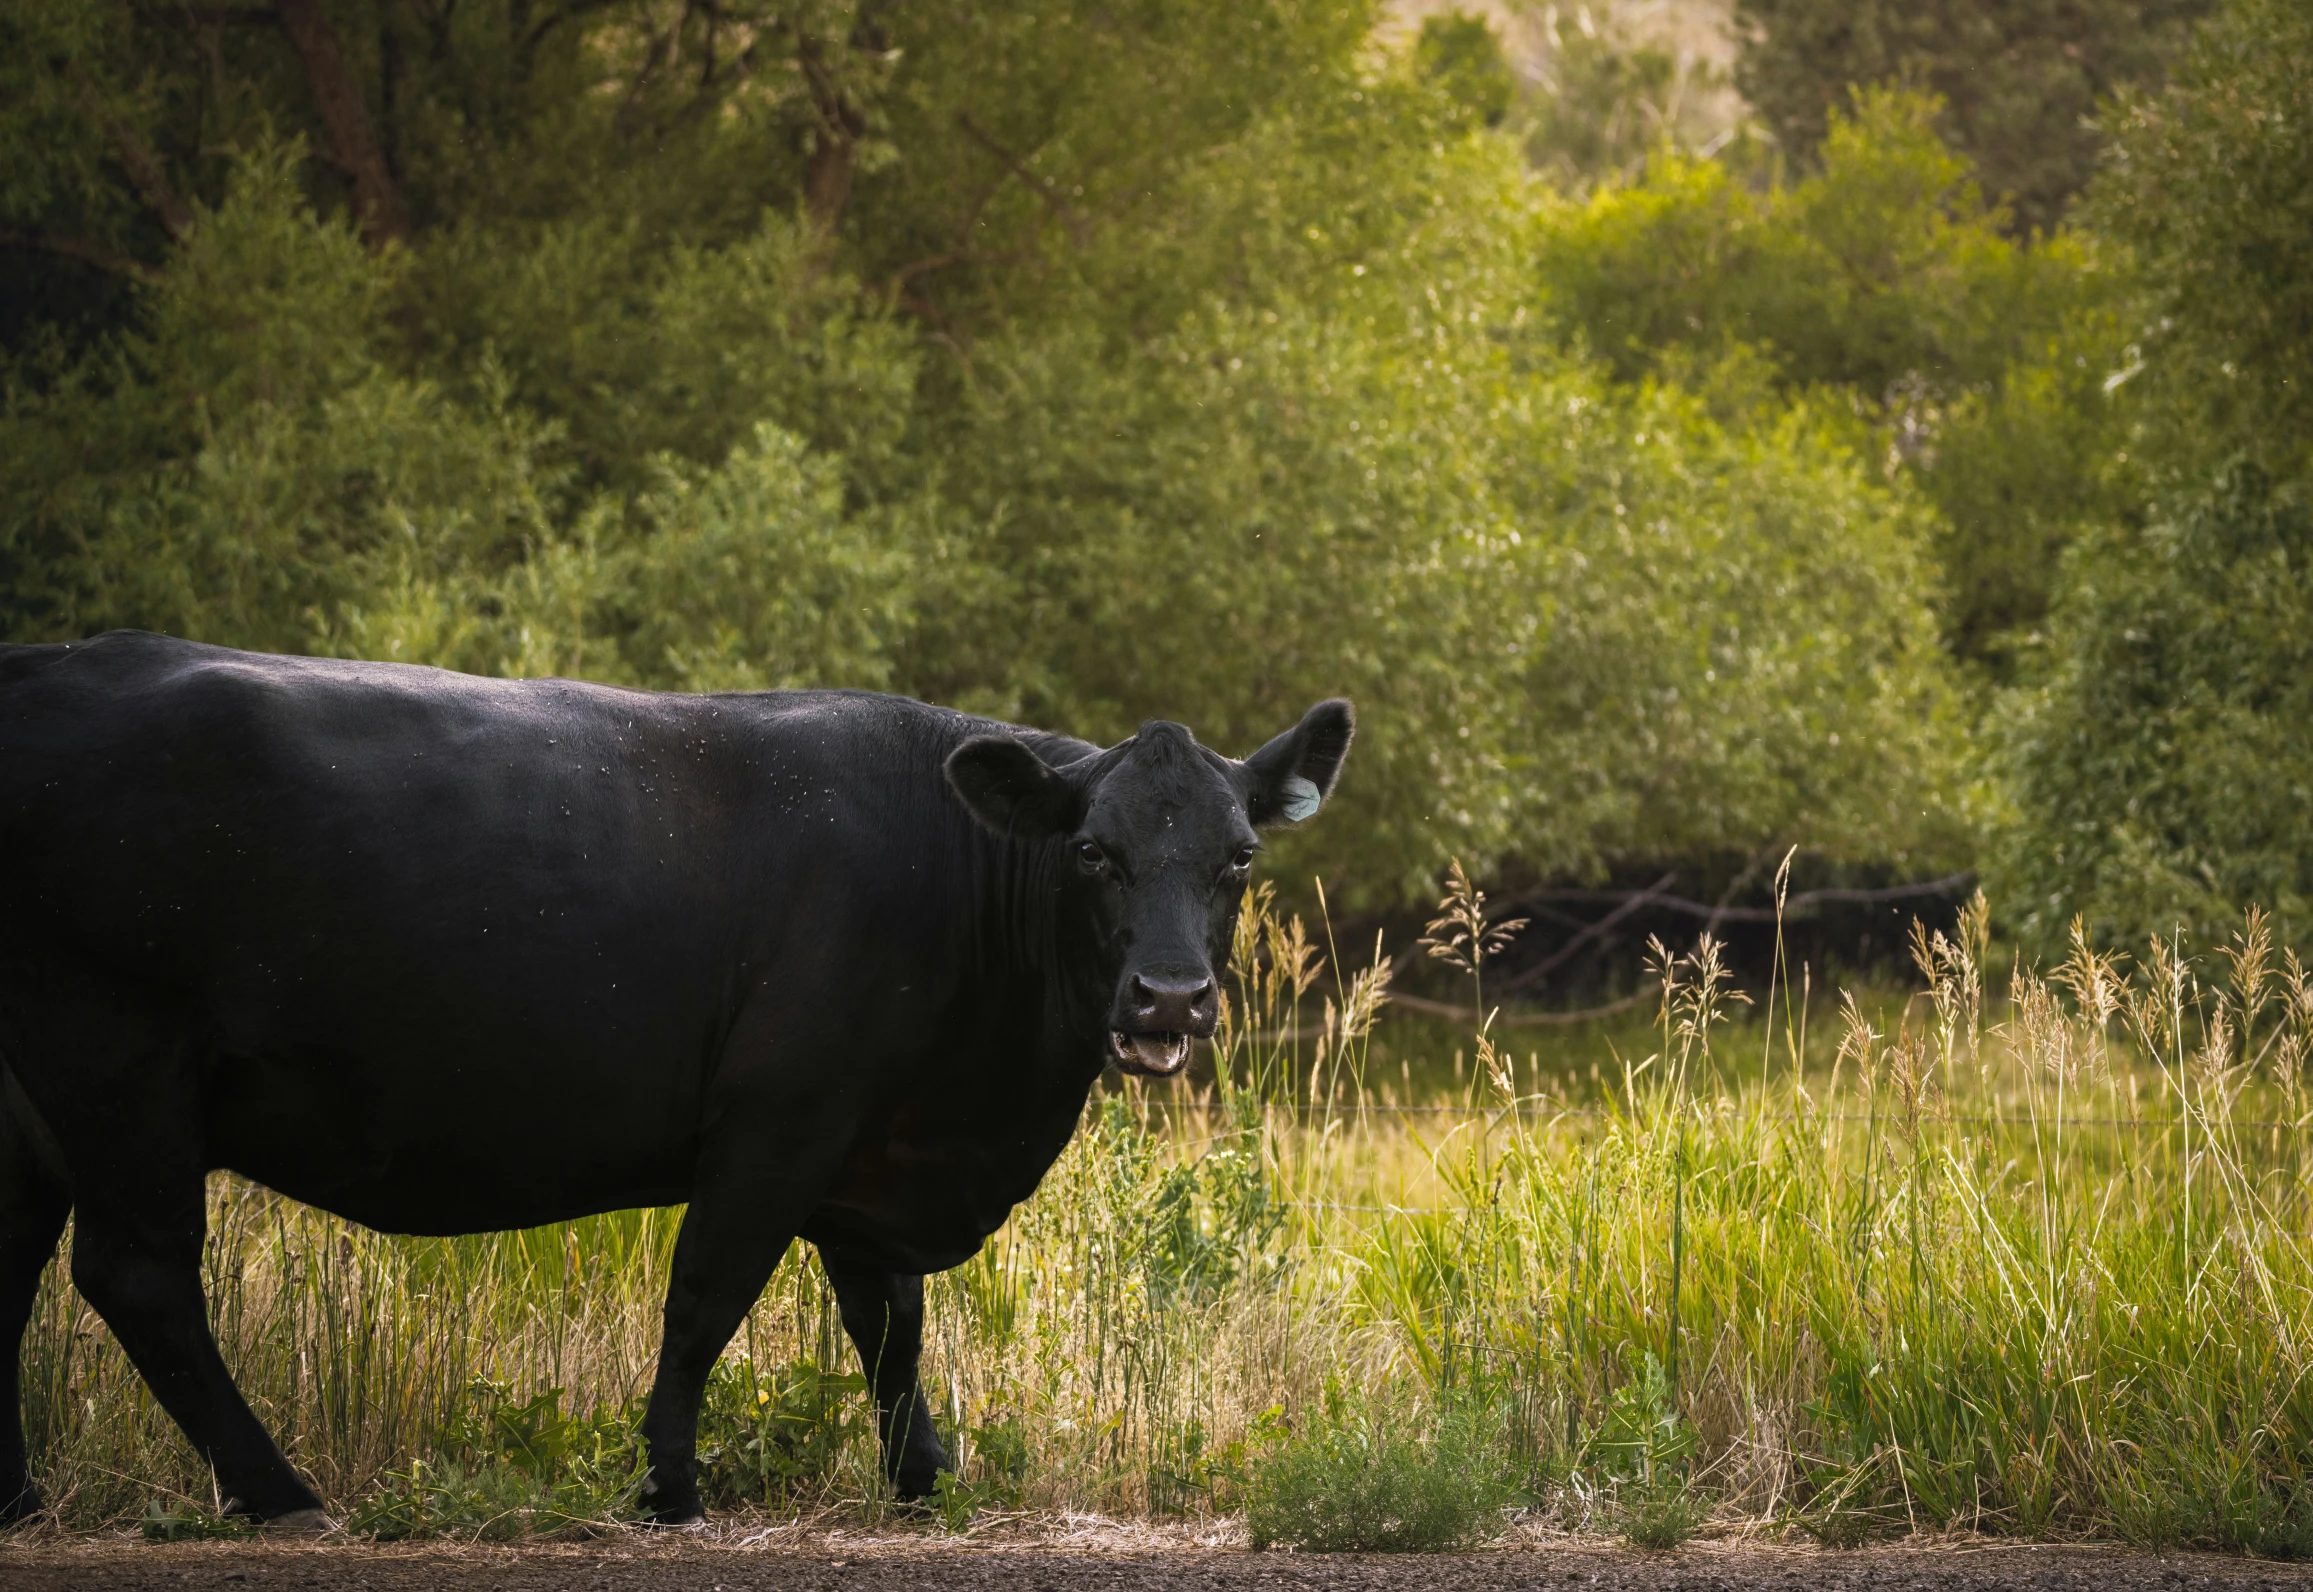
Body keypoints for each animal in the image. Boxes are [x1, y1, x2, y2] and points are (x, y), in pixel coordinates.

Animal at [0, 629, 1350, 1527]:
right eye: (1094, 851)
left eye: (1238, 855)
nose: (1169, 998)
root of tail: (57, 662)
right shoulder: (779, 1118)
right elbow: (706, 1297)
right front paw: (666, 1486)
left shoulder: (873, 1145)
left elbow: (891, 1328)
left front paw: (922, 1481)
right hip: (119, 1060)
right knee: (141, 1275)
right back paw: (279, 1492)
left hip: (39, 1105)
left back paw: (20, 1497)